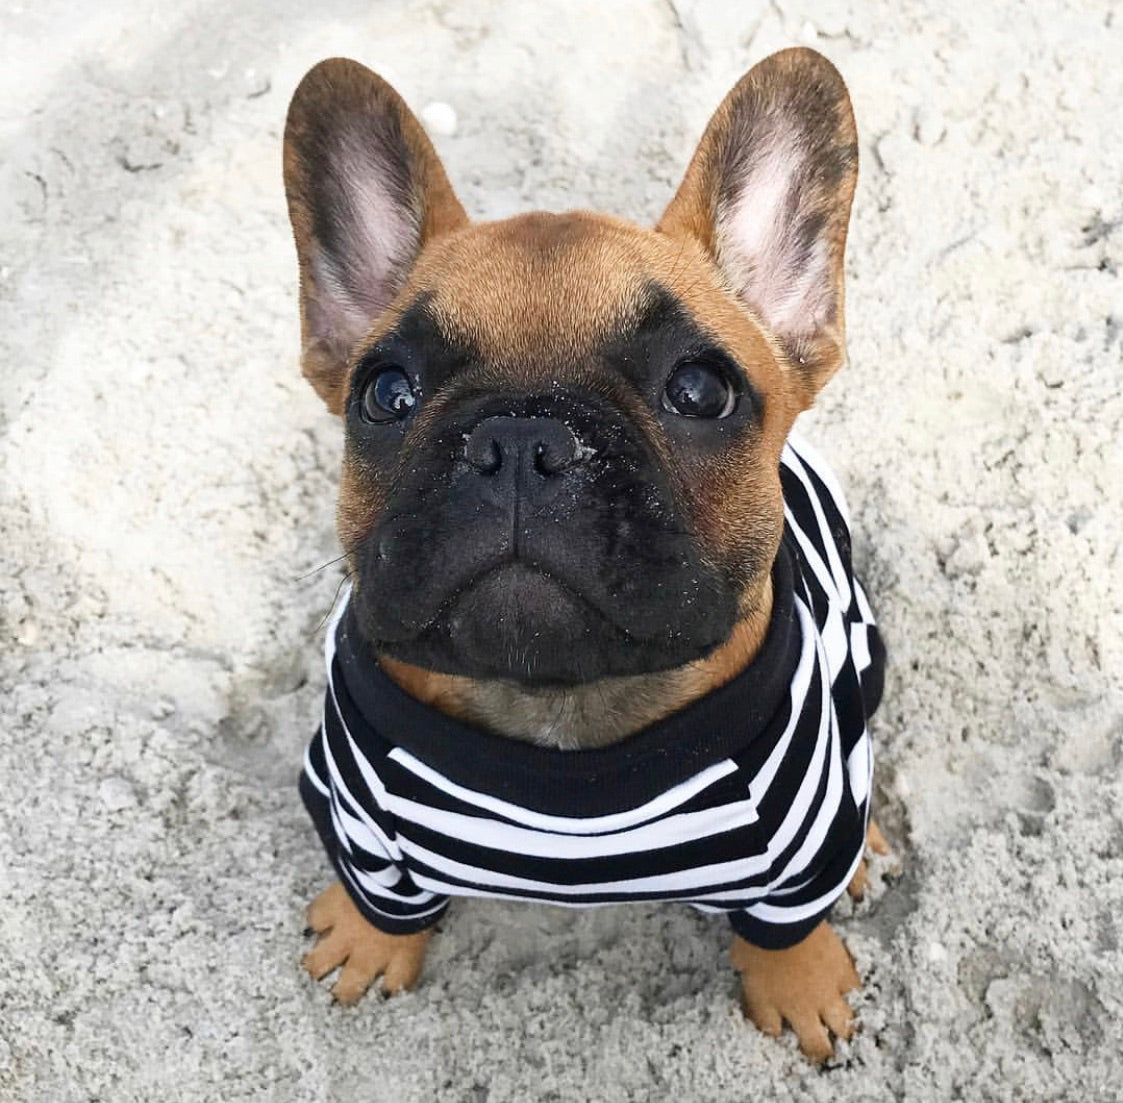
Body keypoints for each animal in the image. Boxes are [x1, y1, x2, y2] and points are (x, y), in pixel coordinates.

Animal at [285, 47, 889, 1064]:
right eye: (386, 393)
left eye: (700, 390)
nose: (519, 439)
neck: (559, 707)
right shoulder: (356, 813)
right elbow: (380, 891)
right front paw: (368, 941)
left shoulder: (796, 848)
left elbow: (784, 924)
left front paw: (800, 984)